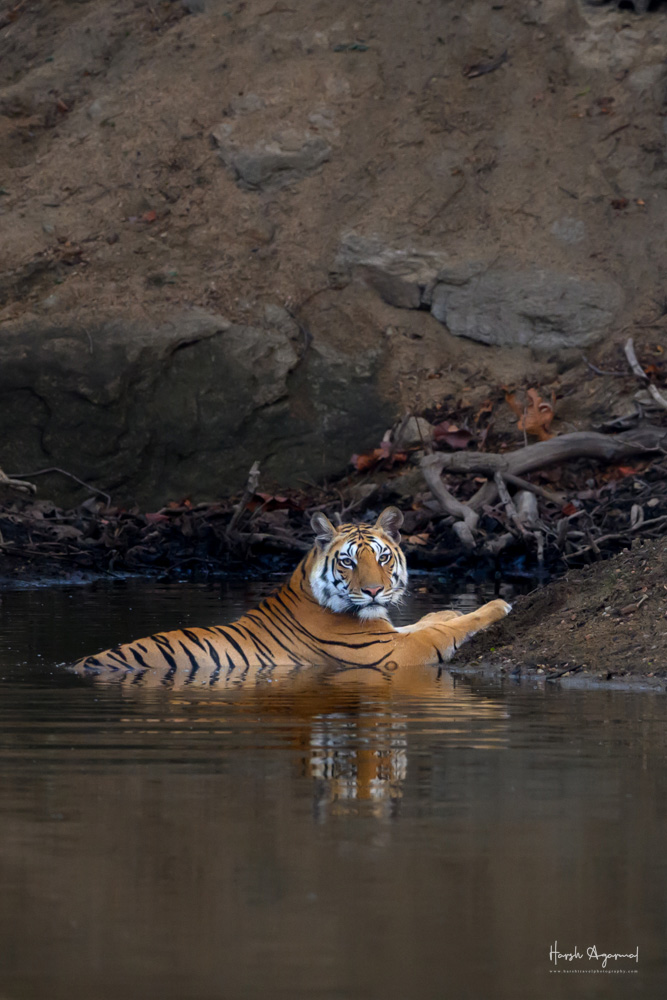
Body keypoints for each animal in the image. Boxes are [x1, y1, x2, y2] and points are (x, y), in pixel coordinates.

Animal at [73, 506, 510, 687]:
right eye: (349, 562)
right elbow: (437, 633)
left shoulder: (388, 632)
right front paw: (497, 604)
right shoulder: (393, 654)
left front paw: (446, 609)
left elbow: (421, 622)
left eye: (383, 557)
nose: (373, 590)